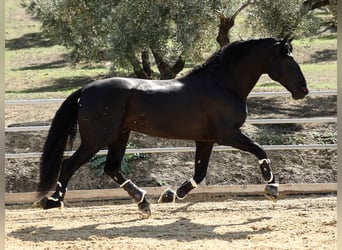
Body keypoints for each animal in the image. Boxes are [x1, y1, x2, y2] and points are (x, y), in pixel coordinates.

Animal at [36, 36, 308, 217]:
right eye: (289, 60)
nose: (303, 91)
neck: (223, 84)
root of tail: (85, 90)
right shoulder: (228, 134)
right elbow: (260, 150)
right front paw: (272, 188)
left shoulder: (206, 140)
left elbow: (199, 174)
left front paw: (170, 195)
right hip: (96, 140)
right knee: (69, 165)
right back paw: (53, 201)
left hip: (120, 136)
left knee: (112, 168)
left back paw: (143, 202)